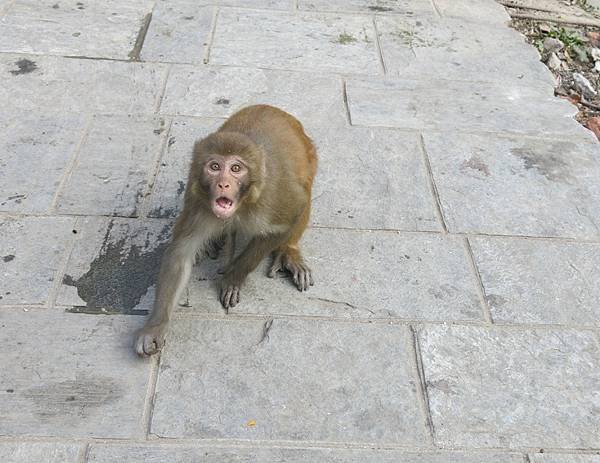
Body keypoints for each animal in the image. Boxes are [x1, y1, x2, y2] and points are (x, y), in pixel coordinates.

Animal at [134, 106, 316, 358]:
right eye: (215, 167)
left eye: (236, 168)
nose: (223, 184)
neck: (240, 205)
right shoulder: (198, 201)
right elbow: (181, 254)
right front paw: (155, 327)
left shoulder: (273, 197)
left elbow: (295, 208)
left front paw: (233, 278)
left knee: (305, 189)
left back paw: (288, 252)